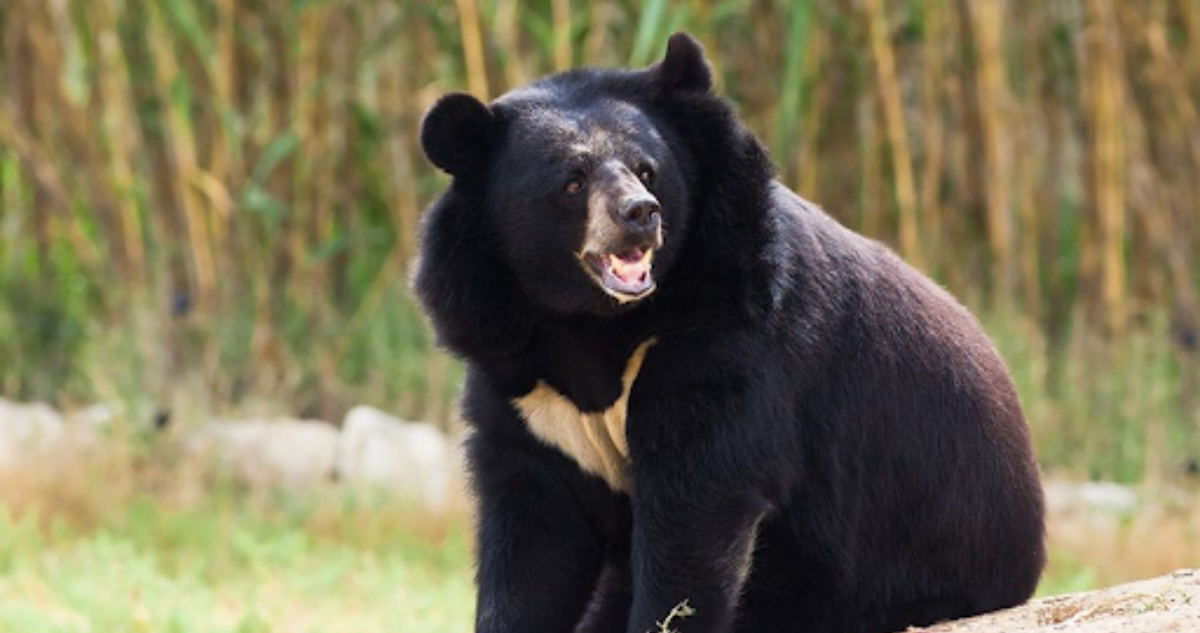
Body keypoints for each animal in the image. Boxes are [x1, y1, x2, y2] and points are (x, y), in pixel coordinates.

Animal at [414, 32, 1045, 633]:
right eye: (571, 182)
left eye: (647, 169)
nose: (640, 213)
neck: (591, 321)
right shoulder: (519, 379)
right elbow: (531, 536)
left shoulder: (726, 338)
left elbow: (698, 506)